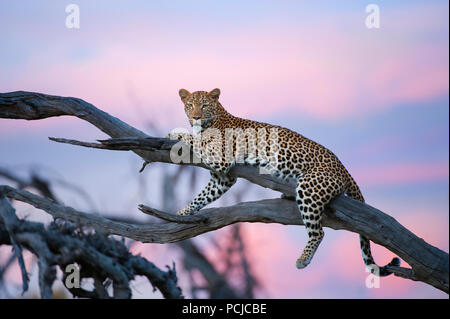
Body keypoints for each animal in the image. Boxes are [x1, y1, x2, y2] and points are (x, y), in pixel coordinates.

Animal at [169, 87, 400, 276]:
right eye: (190, 105)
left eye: (204, 105)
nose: (195, 117)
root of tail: (343, 168)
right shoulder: (223, 178)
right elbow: (201, 196)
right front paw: (181, 214)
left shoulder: (220, 157)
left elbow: (196, 141)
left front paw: (175, 132)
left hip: (309, 187)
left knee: (318, 232)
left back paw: (303, 259)